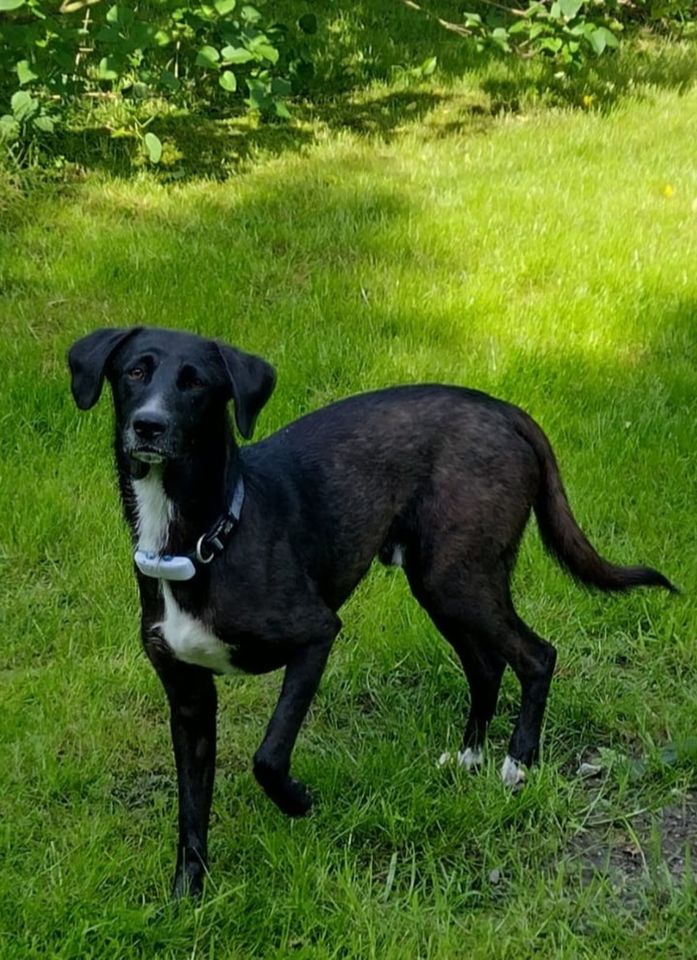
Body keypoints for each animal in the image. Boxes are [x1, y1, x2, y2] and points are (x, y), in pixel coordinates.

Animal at [68, 330, 672, 900]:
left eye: (196, 383)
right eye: (135, 372)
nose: (149, 426)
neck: (201, 538)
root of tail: (503, 409)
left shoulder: (315, 636)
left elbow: (269, 756)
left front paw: (298, 801)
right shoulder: (189, 700)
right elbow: (191, 813)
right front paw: (186, 901)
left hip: (460, 579)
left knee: (537, 656)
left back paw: (518, 763)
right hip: (438, 583)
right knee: (487, 666)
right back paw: (470, 756)